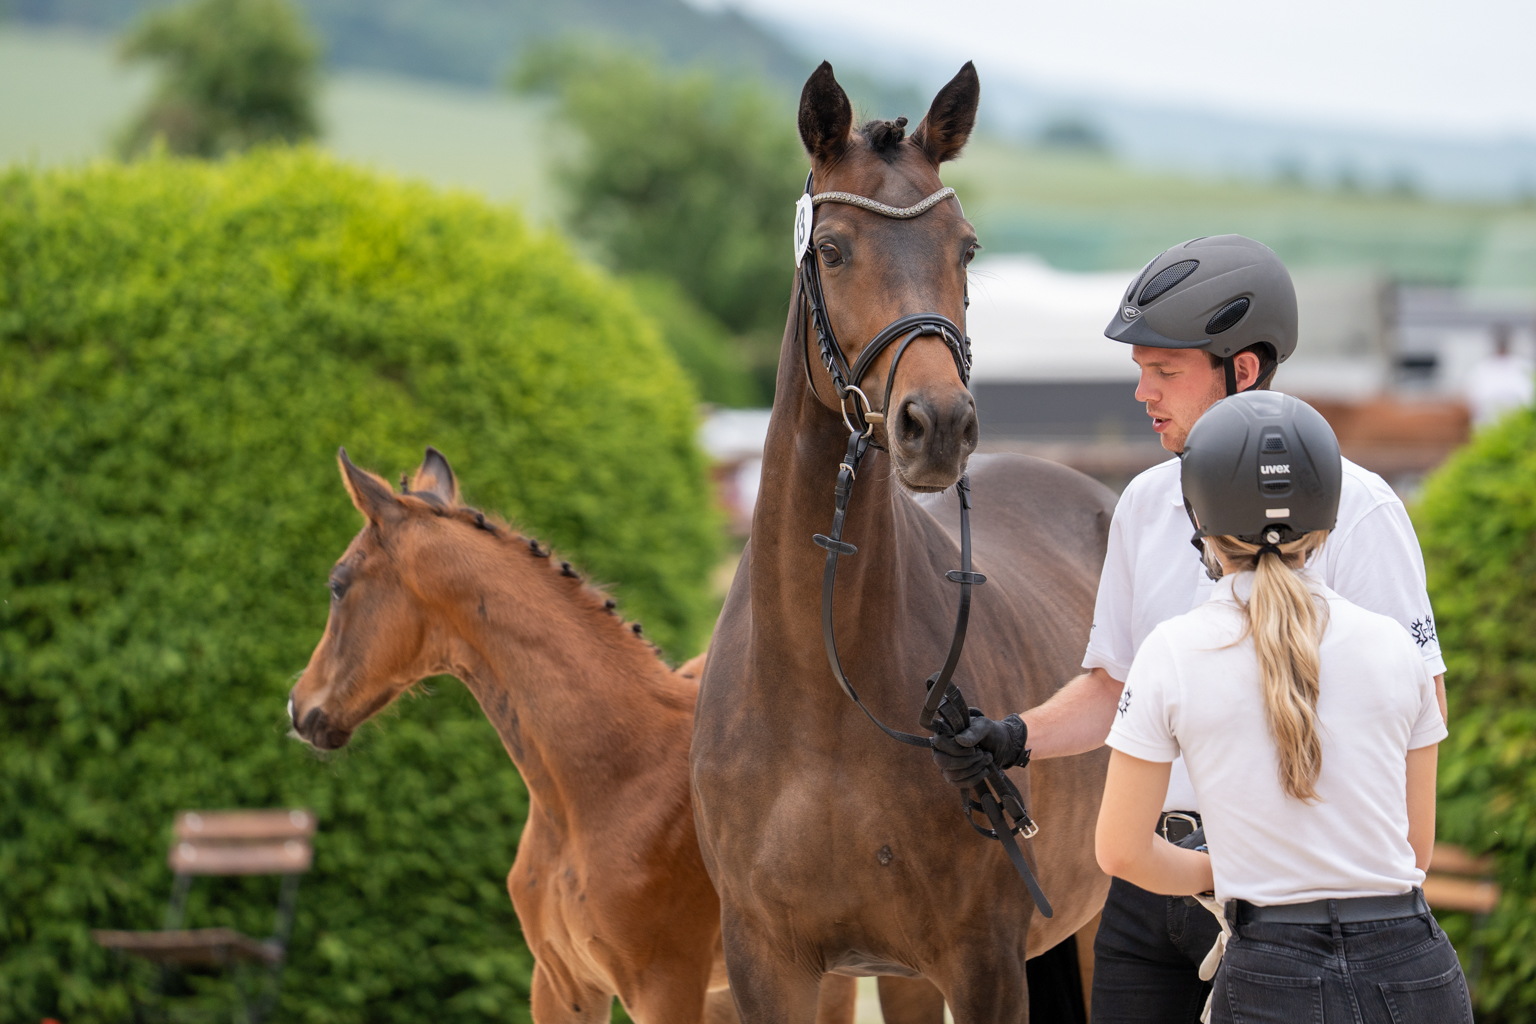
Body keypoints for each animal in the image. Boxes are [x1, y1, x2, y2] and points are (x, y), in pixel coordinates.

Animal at [690, 61, 1117, 1023]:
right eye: (833, 249)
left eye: (966, 249)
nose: (940, 425)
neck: (820, 700)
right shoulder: (772, 965)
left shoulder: (985, 966)